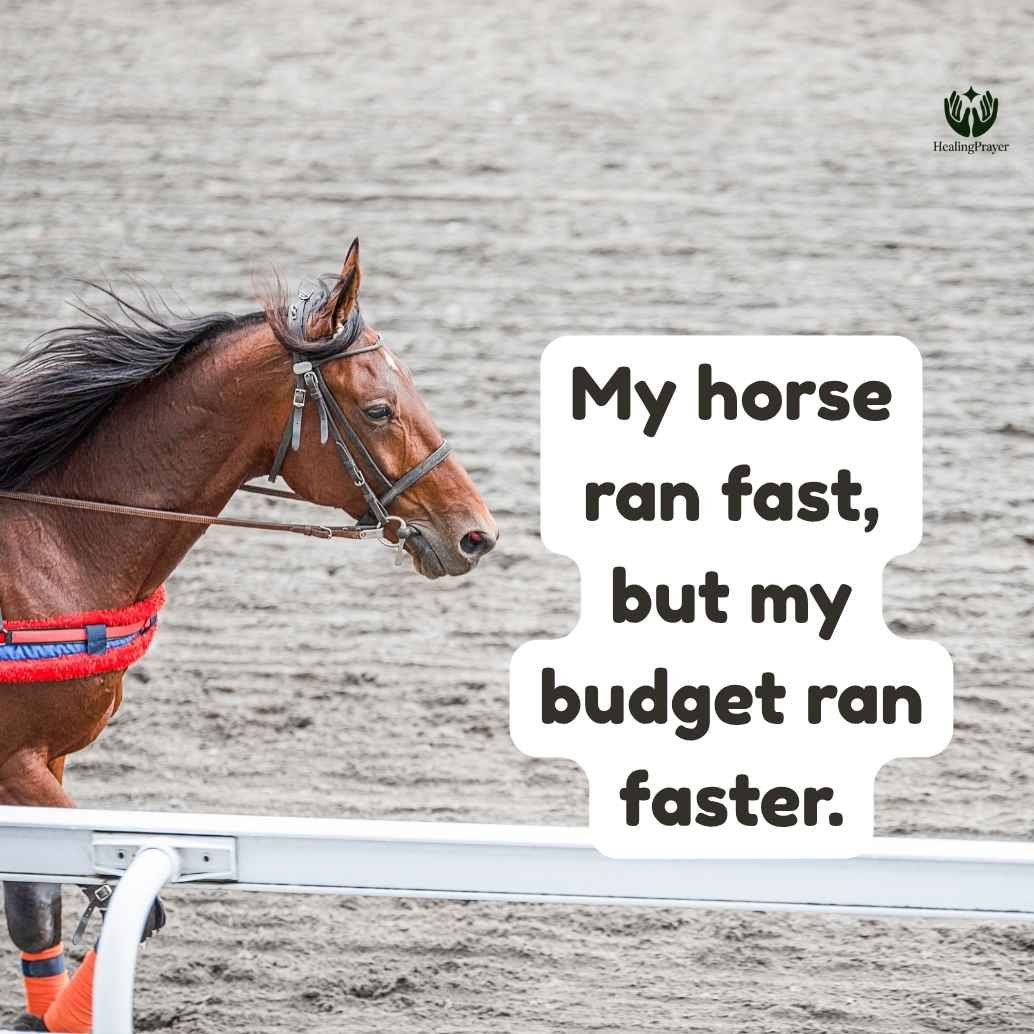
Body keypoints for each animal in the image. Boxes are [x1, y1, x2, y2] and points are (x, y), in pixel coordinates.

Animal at [0, 238, 497, 1031]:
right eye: (379, 407)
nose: (476, 534)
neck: (51, 543)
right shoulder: (17, 763)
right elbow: (125, 906)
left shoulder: (47, 762)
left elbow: (39, 909)